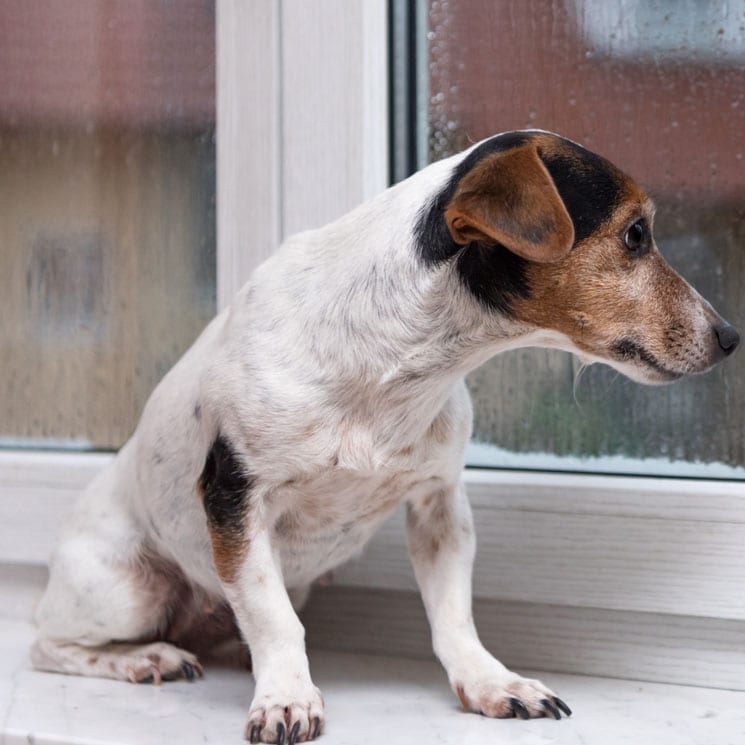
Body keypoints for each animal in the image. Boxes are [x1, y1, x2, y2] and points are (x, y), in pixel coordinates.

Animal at [30, 131, 740, 740]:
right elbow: (273, 618)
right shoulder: (236, 499)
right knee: (47, 645)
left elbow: (454, 617)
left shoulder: (439, 505)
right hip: (128, 589)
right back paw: (144, 657)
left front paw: (492, 684)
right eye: (635, 234)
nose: (731, 337)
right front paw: (286, 698)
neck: (401, 364)